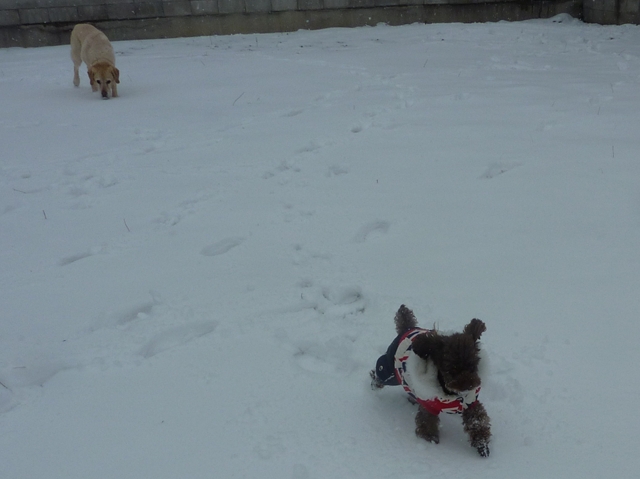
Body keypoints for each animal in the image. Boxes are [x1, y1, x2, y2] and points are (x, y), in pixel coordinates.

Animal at [370, 306, 490, 460]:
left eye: (473, 366)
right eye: (451, 369)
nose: (468, 385)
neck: (450, 393)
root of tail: (407, 328)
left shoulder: (470, 403)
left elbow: (477, 422)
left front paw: (482, 445)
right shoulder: (429, 406)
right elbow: (426, 423)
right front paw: (431, 439)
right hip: (390, 370)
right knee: (380, 372)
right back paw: (375, 383)